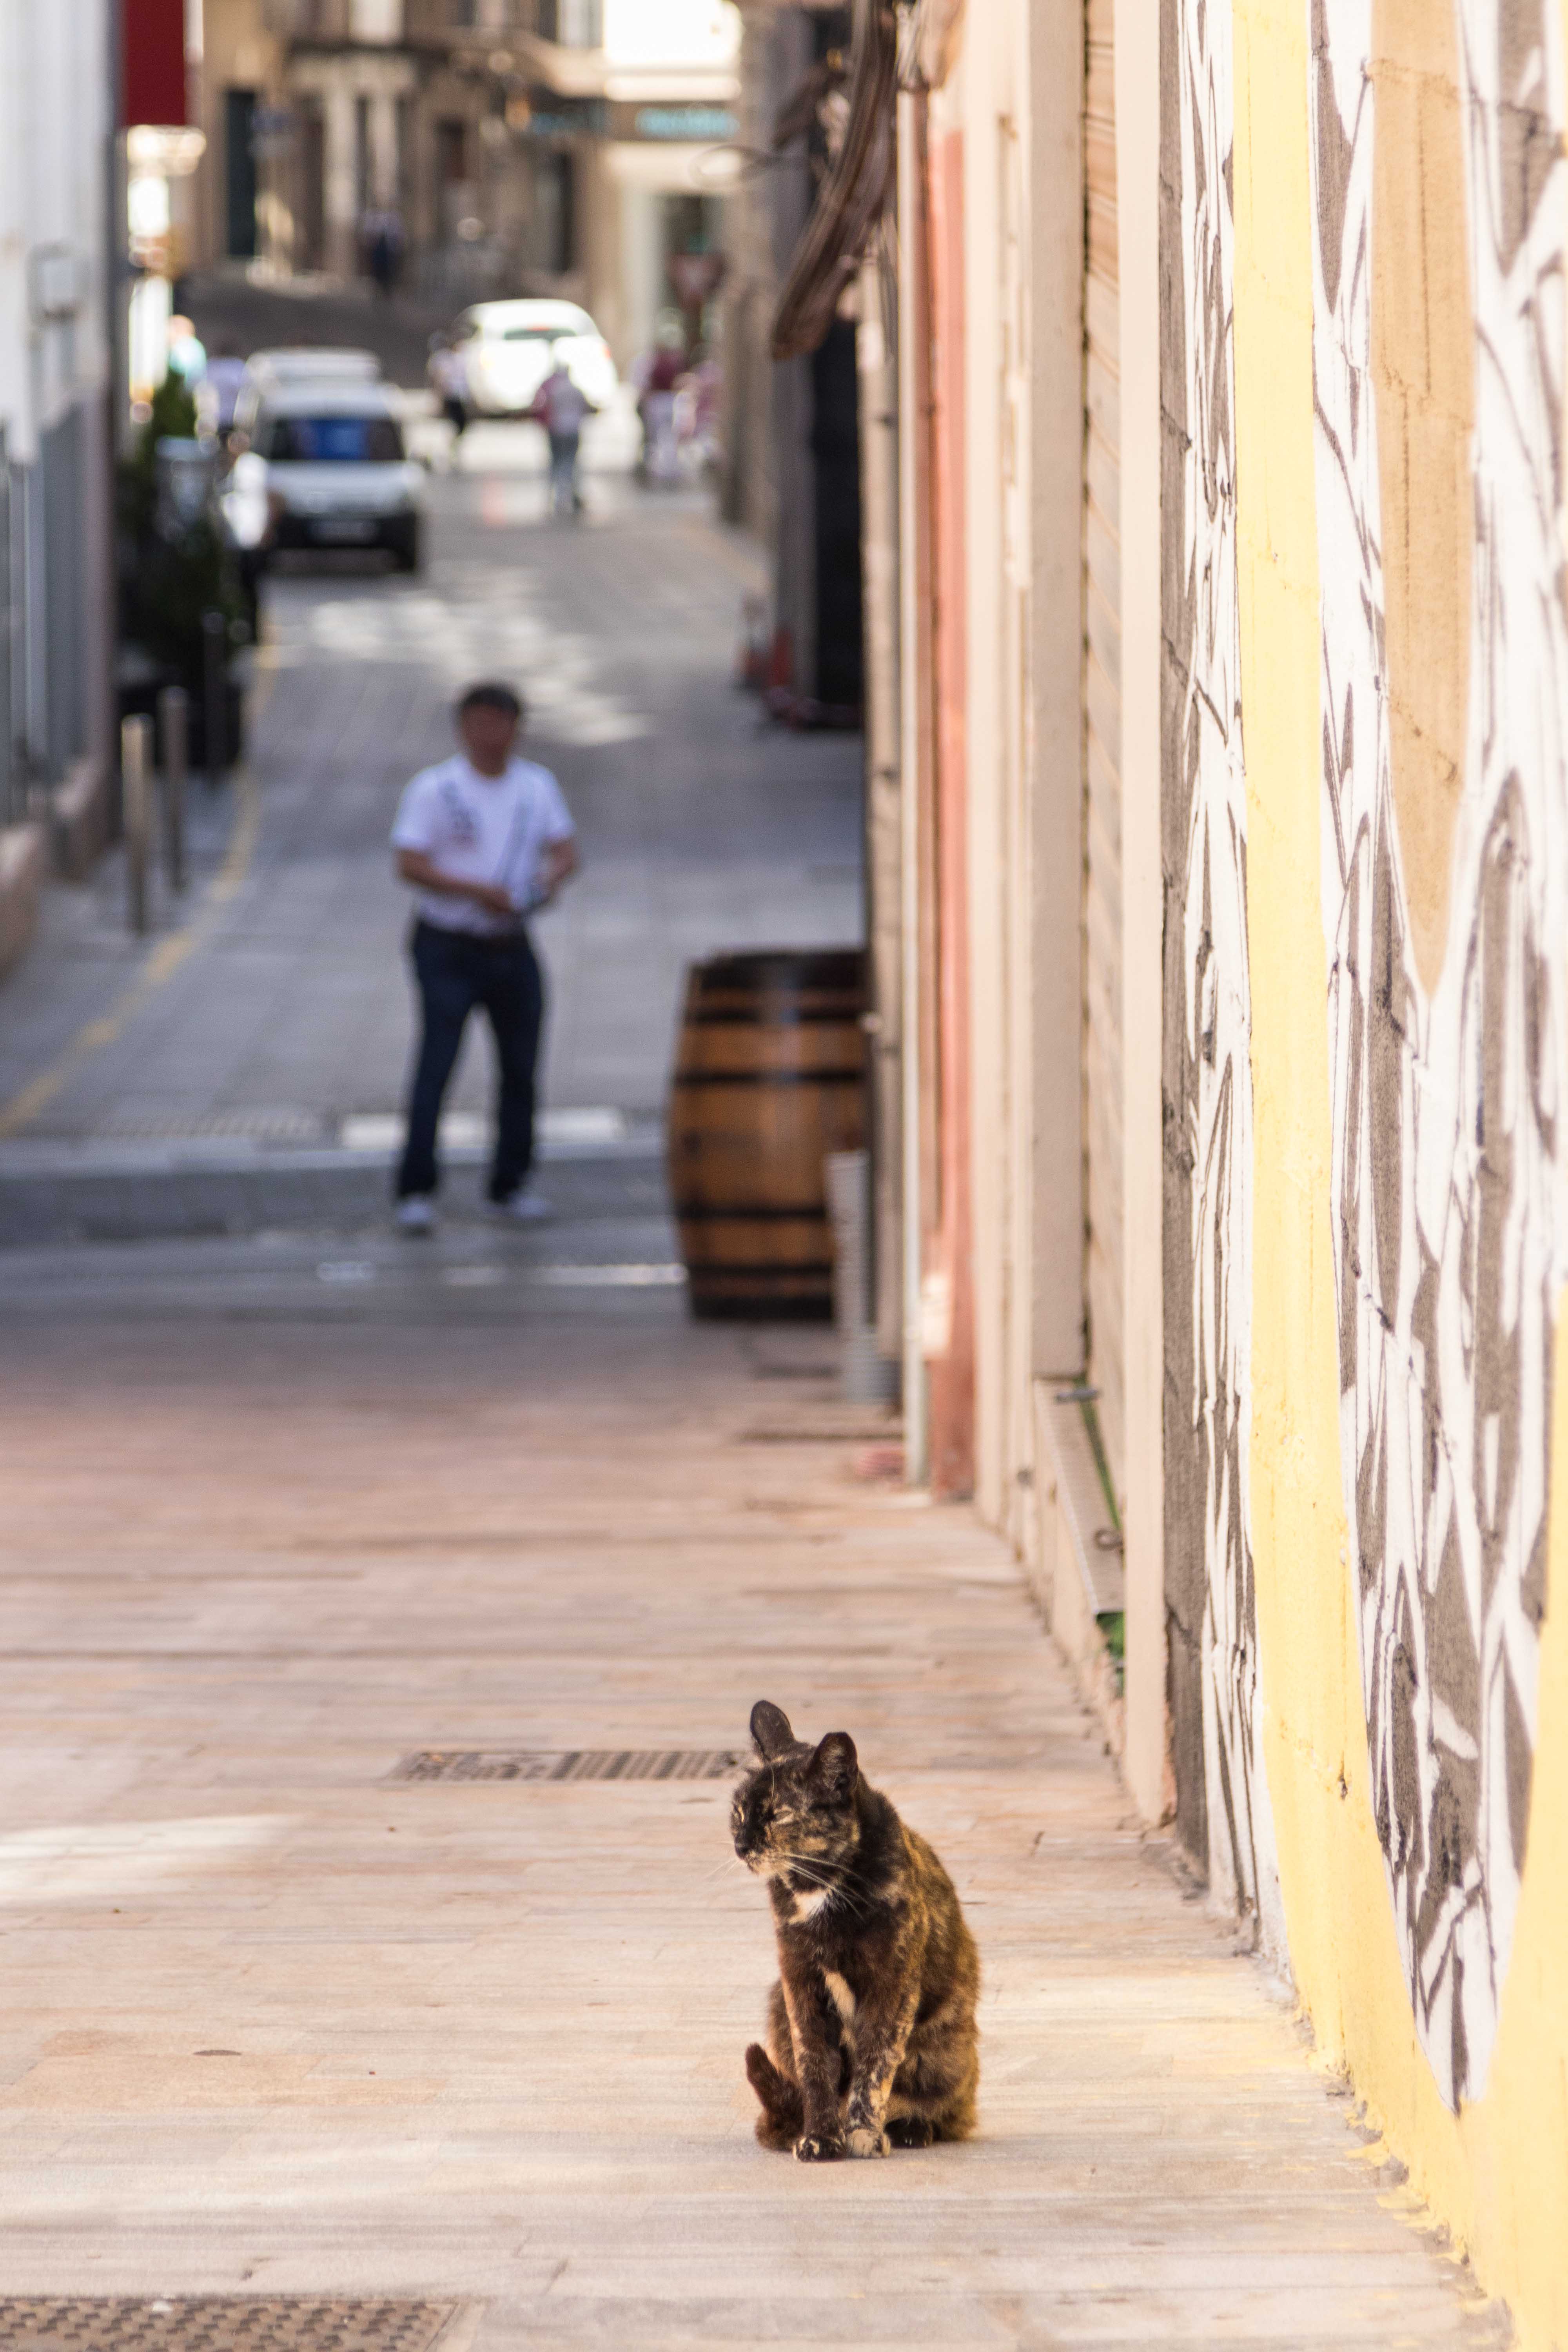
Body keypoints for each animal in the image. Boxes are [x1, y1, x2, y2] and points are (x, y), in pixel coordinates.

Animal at [729, 1703, 973, 2154]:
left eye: (778, 1815)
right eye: (738, 1813)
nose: (741, 1846)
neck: (820, 1889)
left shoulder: (891, 1986)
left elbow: (874, 2066)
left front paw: (863, 2133)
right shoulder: (800, 1981)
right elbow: (814, 2064)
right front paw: (821, 2137)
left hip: (943, 2051)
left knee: (946, 2110)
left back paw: (911, 2128)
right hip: (776, 2002)